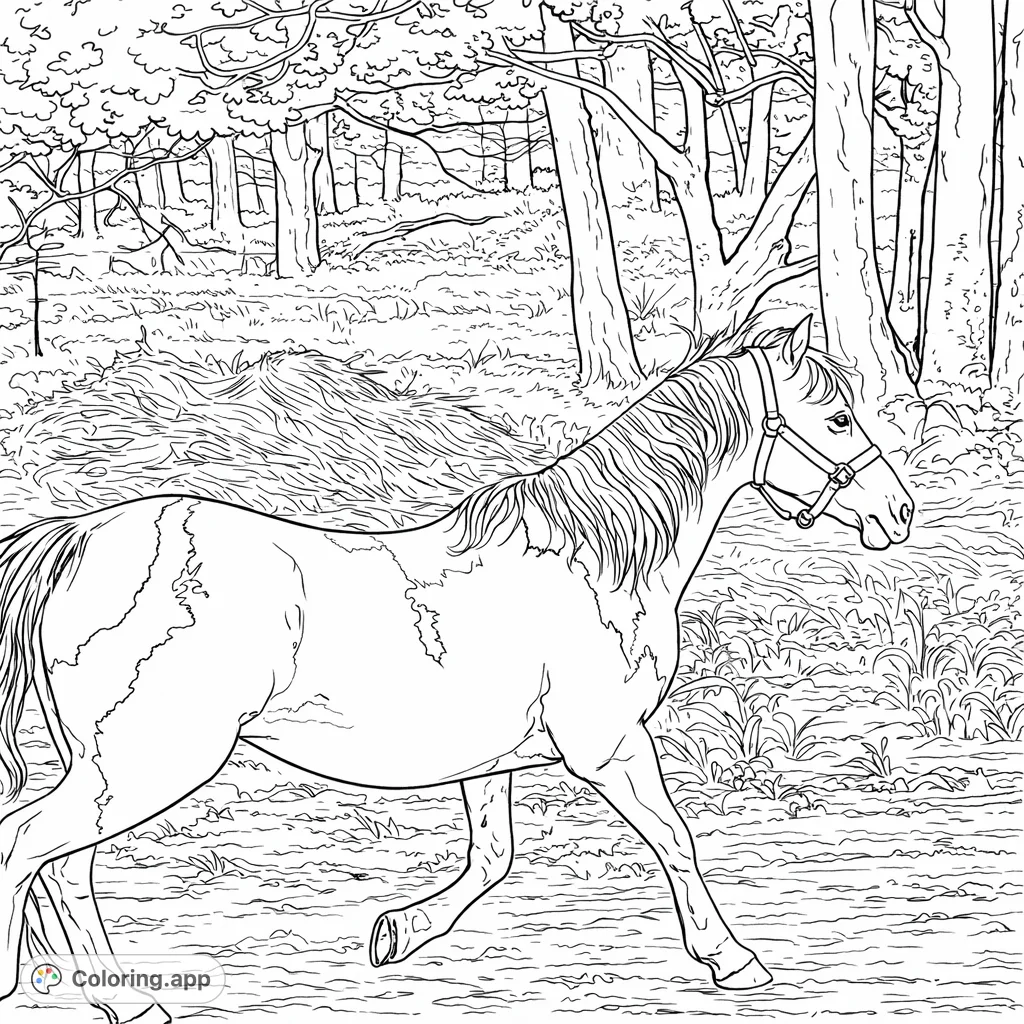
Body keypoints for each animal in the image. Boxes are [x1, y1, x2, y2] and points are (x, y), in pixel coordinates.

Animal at [0, 317, 913, 1022]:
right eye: (836, 418)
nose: (899, 513)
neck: (597, 561)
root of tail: (78, 538)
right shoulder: (609, 745)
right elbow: (675, 838)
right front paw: (733, 958)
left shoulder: (491, 760)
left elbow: (491, 858)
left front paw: (397, 933)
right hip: (144, 764)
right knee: (30, 847)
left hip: (110, 769)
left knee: (66, 870)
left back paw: (129, 1003)